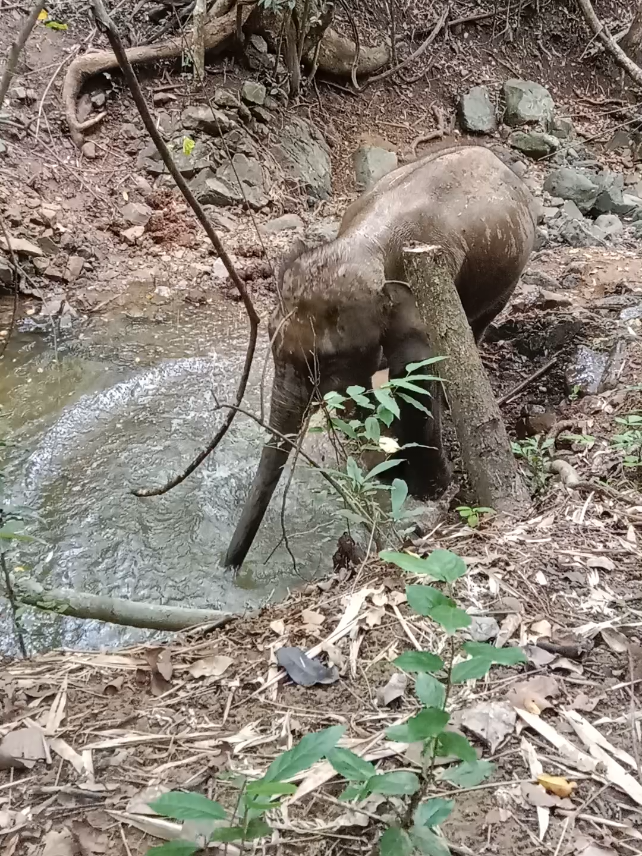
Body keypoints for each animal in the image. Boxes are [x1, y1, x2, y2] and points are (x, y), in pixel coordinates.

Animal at [224, 144, 537, 569]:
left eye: (326, 360)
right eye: (269, 337)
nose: (229, 565)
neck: (364, 244)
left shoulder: (421, 306)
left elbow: (416, 382)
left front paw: (431, 490)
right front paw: (387, 473)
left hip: (506, 280)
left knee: (477, 326)